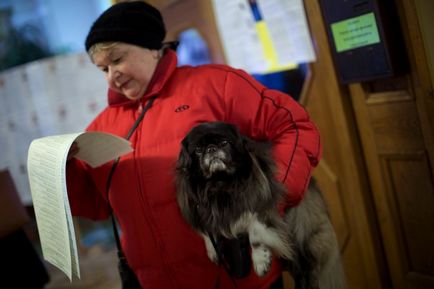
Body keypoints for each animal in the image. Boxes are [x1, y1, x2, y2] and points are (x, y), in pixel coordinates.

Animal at [175, 120, 346, 286]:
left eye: (224, 142)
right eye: (198, 150)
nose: (211, 149)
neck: (220, 184)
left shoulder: (262, 202)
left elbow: (255, 230)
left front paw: (261, 261)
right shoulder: (198, 209)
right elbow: (205, 230)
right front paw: (212, 250)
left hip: (305, 236)